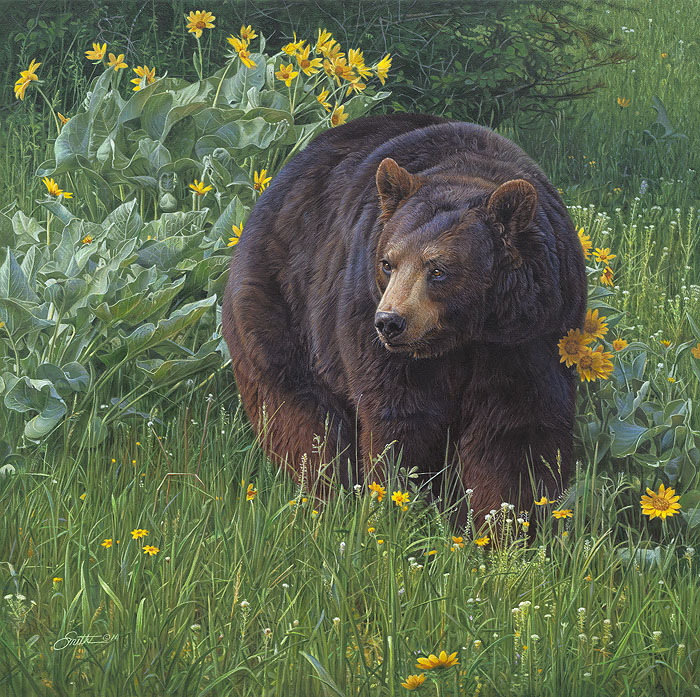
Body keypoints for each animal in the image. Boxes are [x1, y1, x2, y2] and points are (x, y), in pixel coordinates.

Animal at [221, 113, 587, 524]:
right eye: (387, 263)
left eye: (438, 269)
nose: (390, 322)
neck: (465, 335)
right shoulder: (368, 325)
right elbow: (402, 419)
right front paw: (398, 504)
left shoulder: (529, 335)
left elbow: (515, 432)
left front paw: (506, 522)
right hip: (280, 314)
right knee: (303, 419)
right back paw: (327, 494)